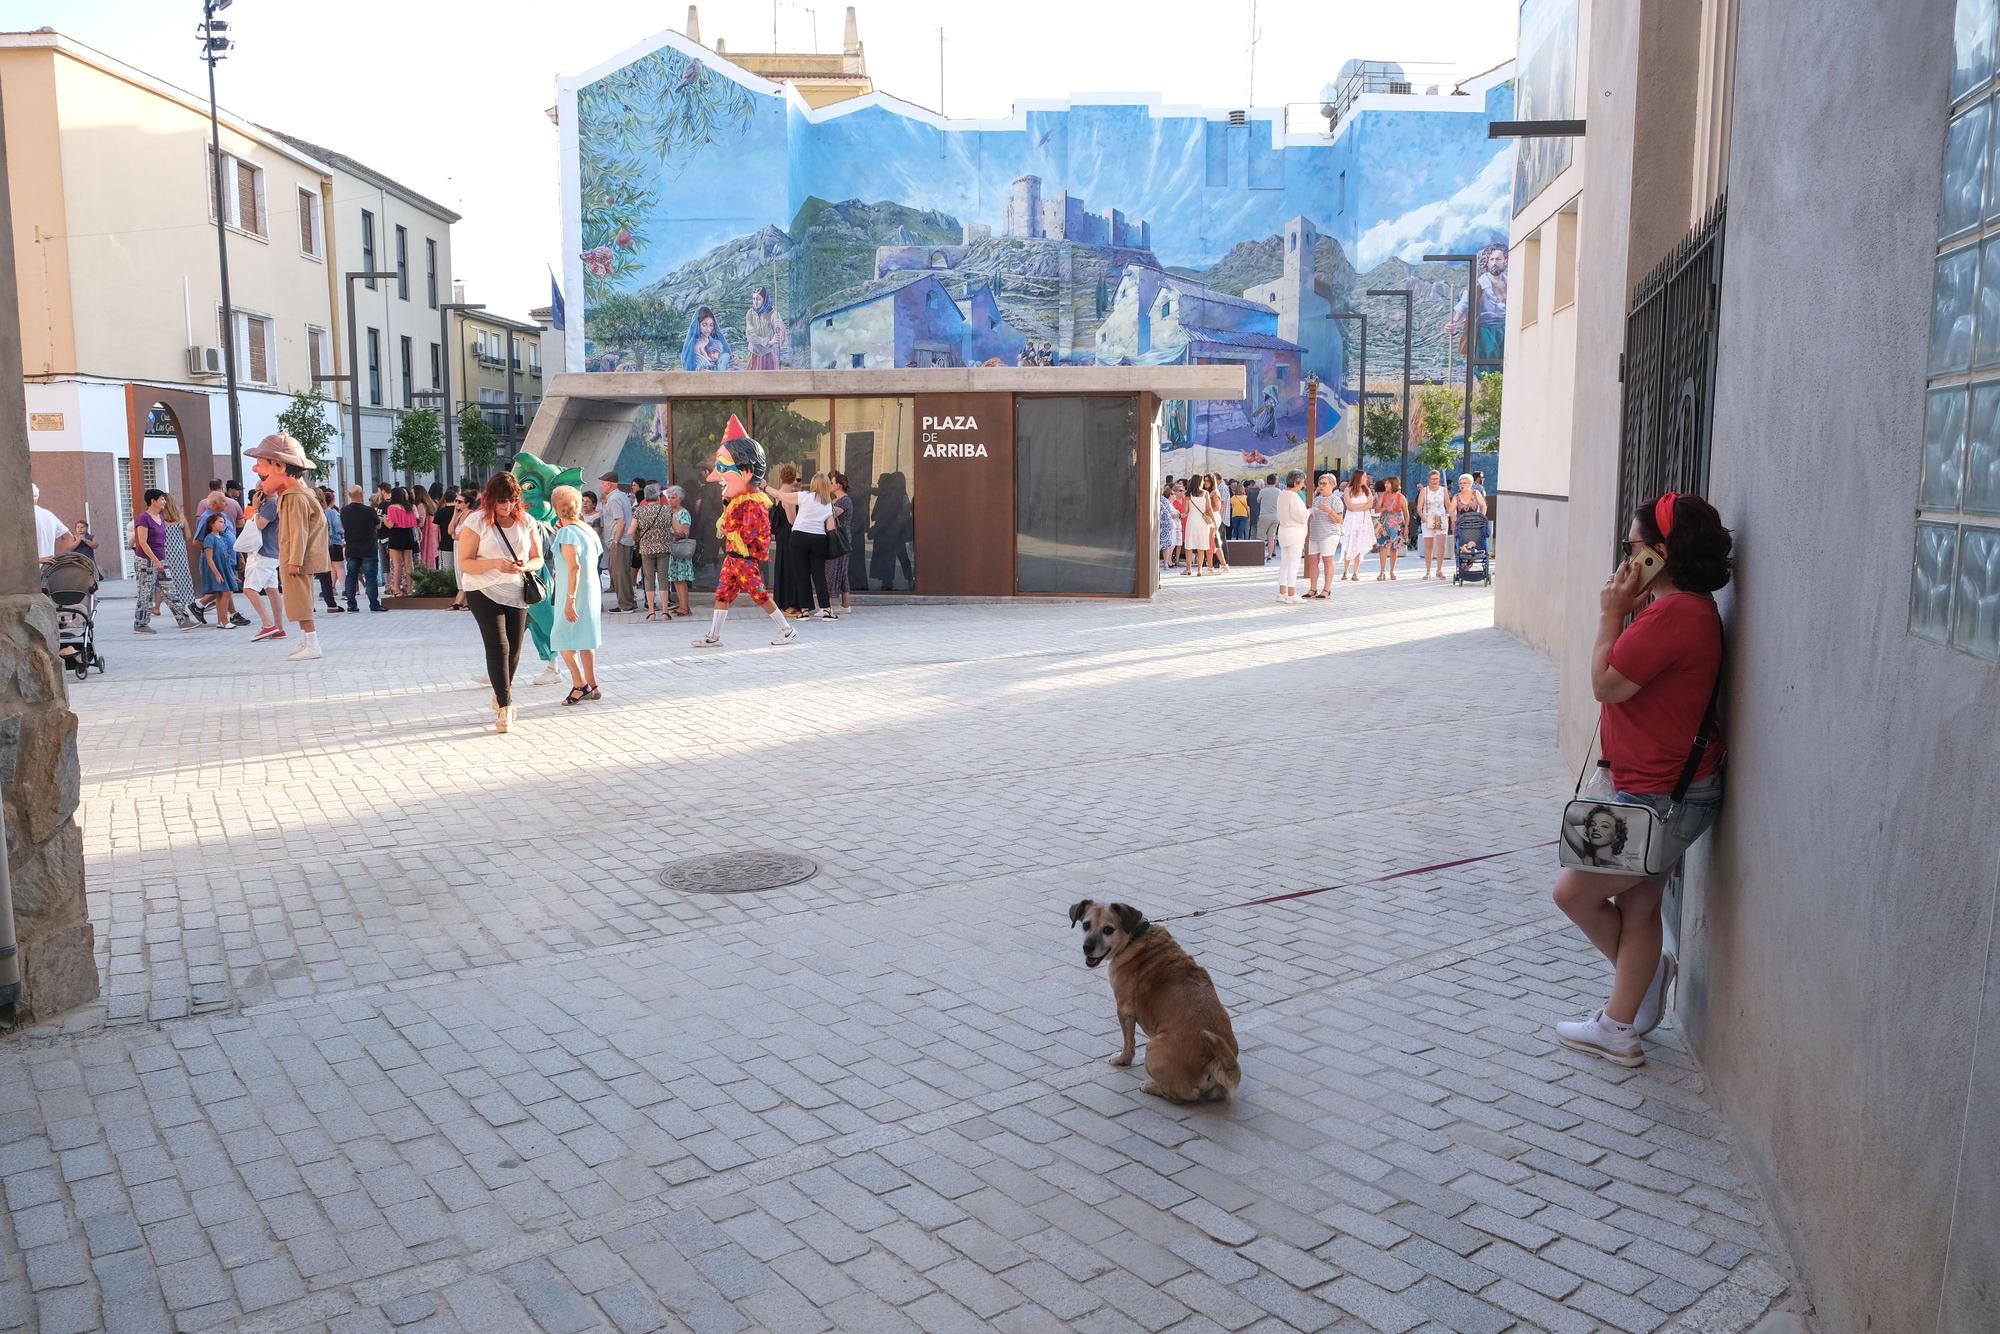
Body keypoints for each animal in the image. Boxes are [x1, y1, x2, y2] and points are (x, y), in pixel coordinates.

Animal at [1072, 908, 1240, 1104]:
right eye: (1086, 925)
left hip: (1153, 1048)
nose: (1087, 947)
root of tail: (1212, 1059)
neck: (1135, 937)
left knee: (1181, 1095)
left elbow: (1128, 1042)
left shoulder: (1124, 1010)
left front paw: (1122, 1059)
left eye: (1108, 929)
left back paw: (1151, 1086)